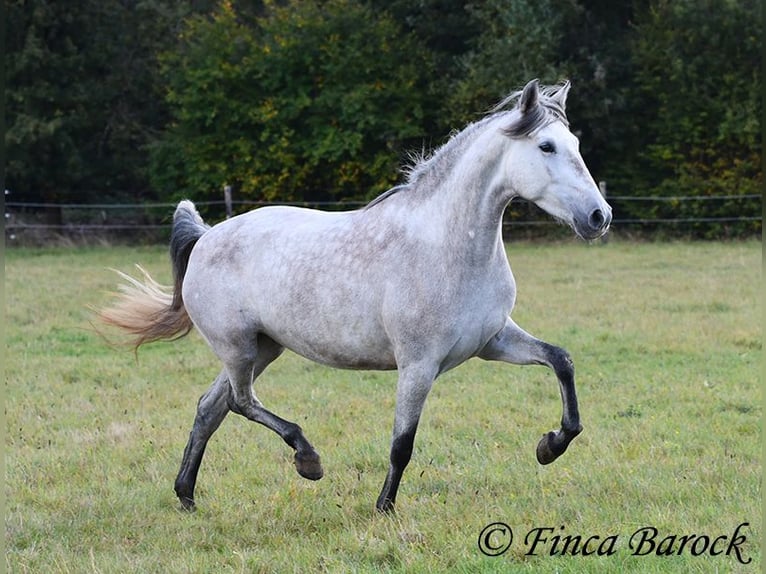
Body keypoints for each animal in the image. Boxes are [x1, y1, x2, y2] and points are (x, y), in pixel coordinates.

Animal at [100, 80, 612, 512]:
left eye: (575, 146)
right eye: (546, 147)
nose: (599, 216)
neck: (446, 245)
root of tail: (206, 236)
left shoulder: (492, 342)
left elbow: (561, 361)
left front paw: (550, 446)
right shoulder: (418, 365)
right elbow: (402, 444)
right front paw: (383, 509)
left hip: (263, 348)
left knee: (212, 407)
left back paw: (187, 496)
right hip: (238, 347)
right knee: (242, 403)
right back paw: (307, 460)